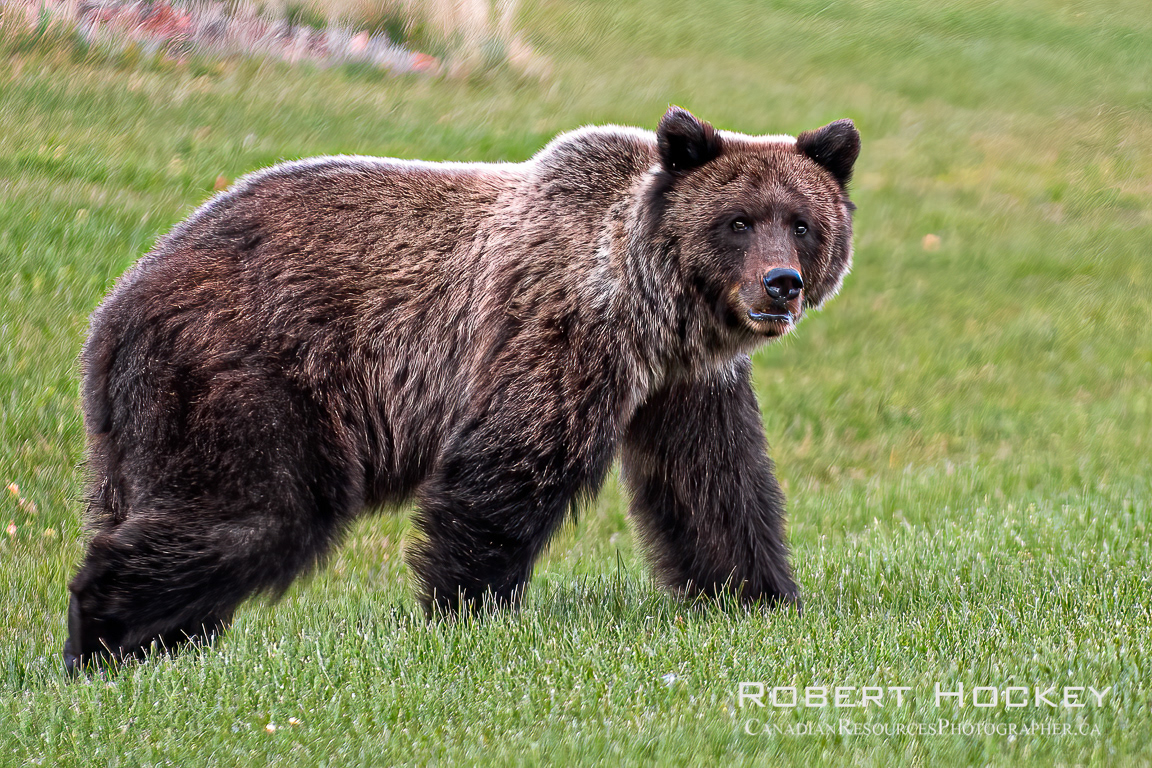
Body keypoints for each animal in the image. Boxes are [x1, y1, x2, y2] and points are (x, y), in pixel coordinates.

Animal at [63, 106, 860, 671]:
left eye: (801, 222)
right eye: (737, 221)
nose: (780, 284)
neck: (651, 308)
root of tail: (115, 306)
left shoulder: (686, 384)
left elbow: (716, 484)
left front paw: (760, 598)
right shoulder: (556, 329)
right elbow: (514, 464)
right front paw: (470, 610)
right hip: (251, 368)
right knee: (249, 508)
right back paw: (104, 638)